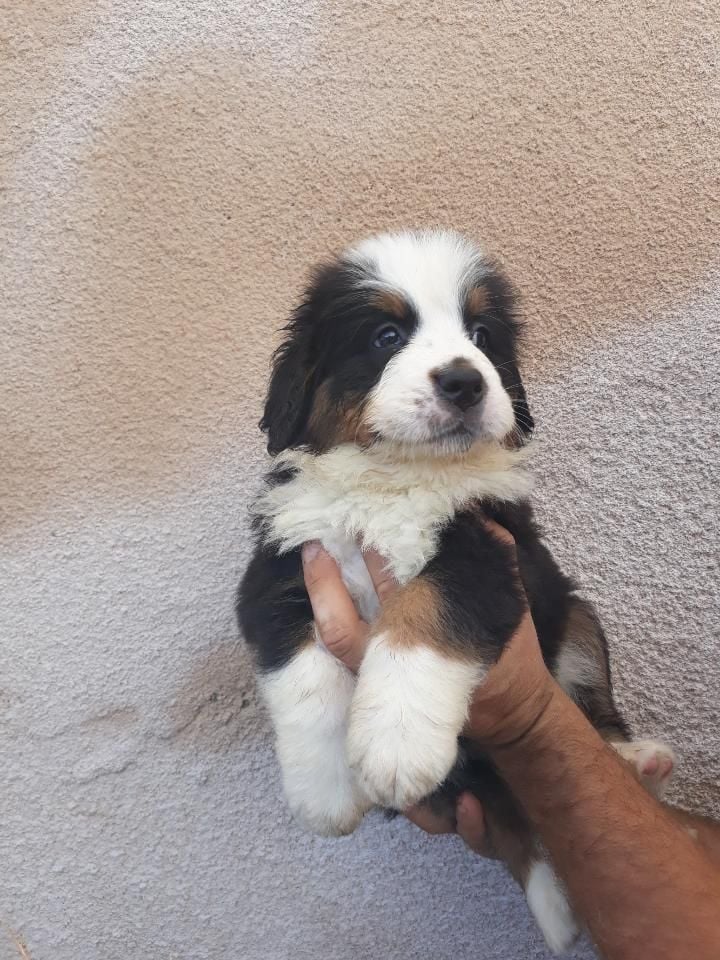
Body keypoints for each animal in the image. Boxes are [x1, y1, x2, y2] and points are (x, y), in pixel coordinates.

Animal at [238, 231, 676, 952]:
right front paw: (327, 791)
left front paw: (396, 743)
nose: (465, 381)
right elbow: (303, 675)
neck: (395, 481)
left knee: (585, 713)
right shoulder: (286, 562)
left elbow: (423, 614)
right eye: (386, 334)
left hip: (578, 618)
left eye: (480, 334)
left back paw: (635, 763)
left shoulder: (489, 549)